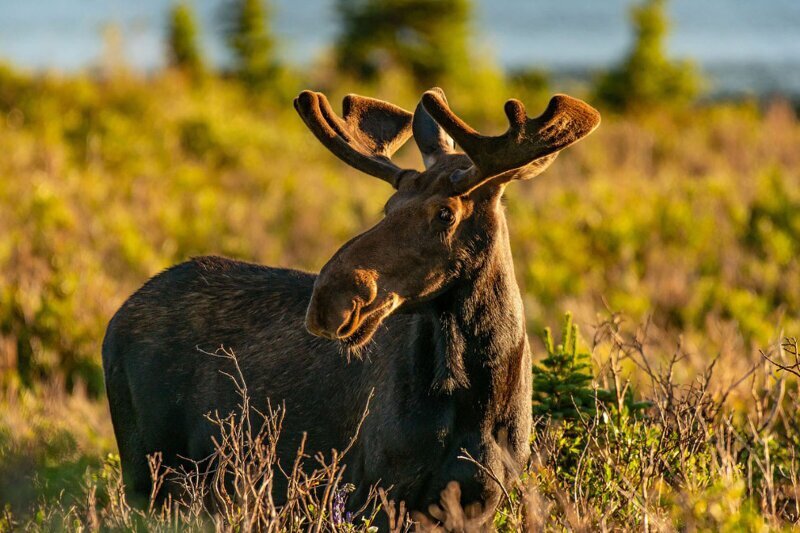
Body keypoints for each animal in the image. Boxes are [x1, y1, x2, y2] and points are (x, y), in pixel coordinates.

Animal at [101, 86, 600, 524]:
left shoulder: (479, 499)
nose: (330, 300)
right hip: (149, 471)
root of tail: (116, 319)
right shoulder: (377, 492)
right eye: (389, 205)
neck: (478, 394)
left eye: (446, 213)